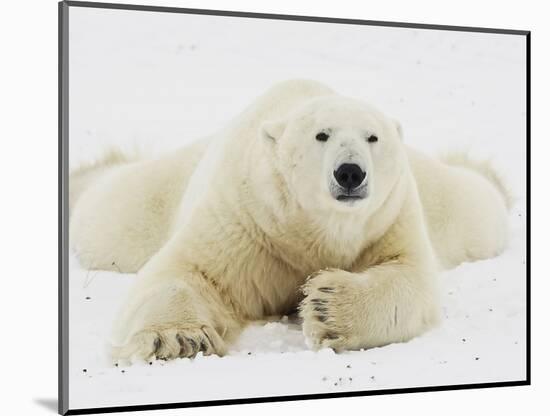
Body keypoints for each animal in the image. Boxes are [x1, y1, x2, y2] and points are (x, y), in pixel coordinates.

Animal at [70, 79, 512, 360]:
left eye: (373, 137)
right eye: (322, 135)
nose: (350, 173)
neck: (310, 226)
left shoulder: (388, 218)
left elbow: (410, 279)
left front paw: (325, 307)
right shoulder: (243, 218)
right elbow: (187, 270)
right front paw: (176, 338)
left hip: (438, 195)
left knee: (475, 202)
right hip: (152, 199)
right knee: (108, 214)